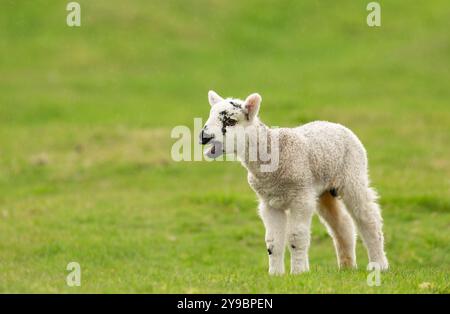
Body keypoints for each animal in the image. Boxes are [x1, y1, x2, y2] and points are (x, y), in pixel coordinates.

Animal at [199, 90, 388, 274]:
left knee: (368, 218)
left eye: (230, 121)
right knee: (342, 224)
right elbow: (273, 242)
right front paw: (276, 274)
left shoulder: (301, 197)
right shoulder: (270, 203)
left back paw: (378, 264)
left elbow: (297, 237)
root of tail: (335, 124)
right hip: (324, 190)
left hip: (353, 174)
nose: (203, 137)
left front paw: (298, 273)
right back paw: (347, 266)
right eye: (210, 115)